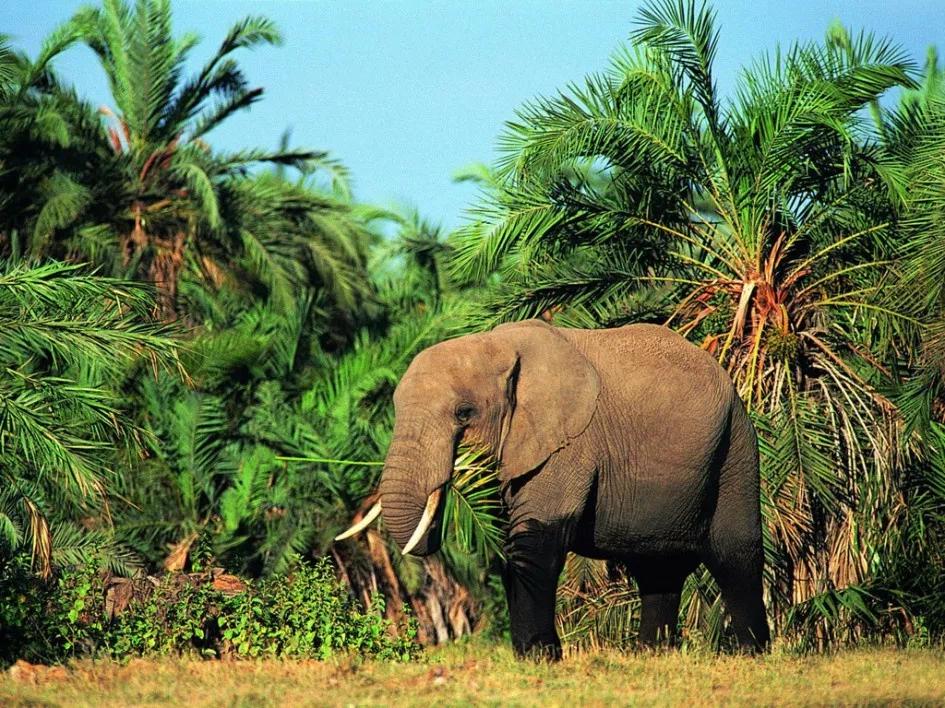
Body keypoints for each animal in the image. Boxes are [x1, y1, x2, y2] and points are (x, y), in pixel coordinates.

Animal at [338, 320, 768, 660]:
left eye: (464, 413)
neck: (495, 345)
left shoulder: (570, 443)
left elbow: (534, 539)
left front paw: (538, 657)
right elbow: (508, 542)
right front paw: (529, 654)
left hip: (736, 444)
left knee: (734, 551)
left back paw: (752, 652)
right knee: (656, 567)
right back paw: (652, 653)